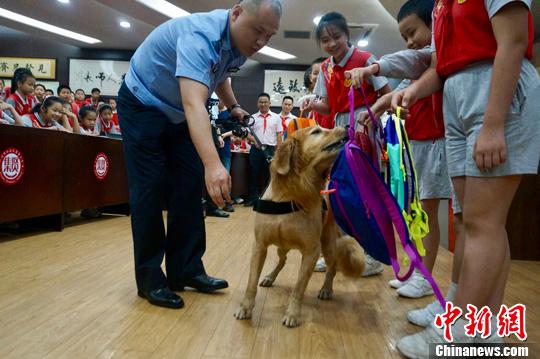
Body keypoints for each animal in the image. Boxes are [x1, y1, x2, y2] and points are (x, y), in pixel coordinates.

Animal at [235, 126, 364, 330]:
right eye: (317, 131)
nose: (345, 127)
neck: (290, 195)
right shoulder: (260, 245)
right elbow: (251, 282)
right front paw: (245, 308)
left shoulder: (311, 252)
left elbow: (298, 288)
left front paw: (292, 314)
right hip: (281, 246)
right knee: (282, 260)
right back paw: (270, 277)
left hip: (328, 245)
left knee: (332, 267)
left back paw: (326, 289)